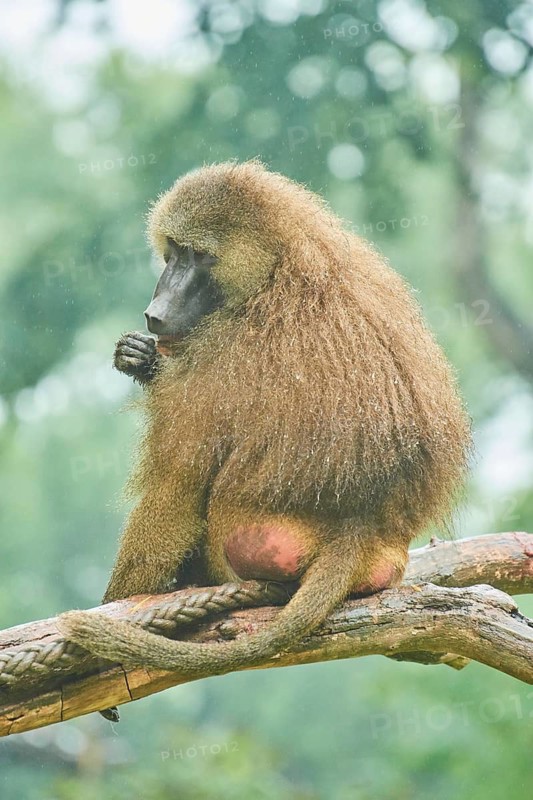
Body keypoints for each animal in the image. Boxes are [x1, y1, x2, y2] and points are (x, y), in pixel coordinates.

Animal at [58, 160, 472, 676]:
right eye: (175, 250)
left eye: (199, 257)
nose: (156, 313)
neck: (277, 270)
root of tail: (359, 526)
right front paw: (139, 358)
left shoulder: (224, 358)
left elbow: (177, 487)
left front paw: (117, 606)